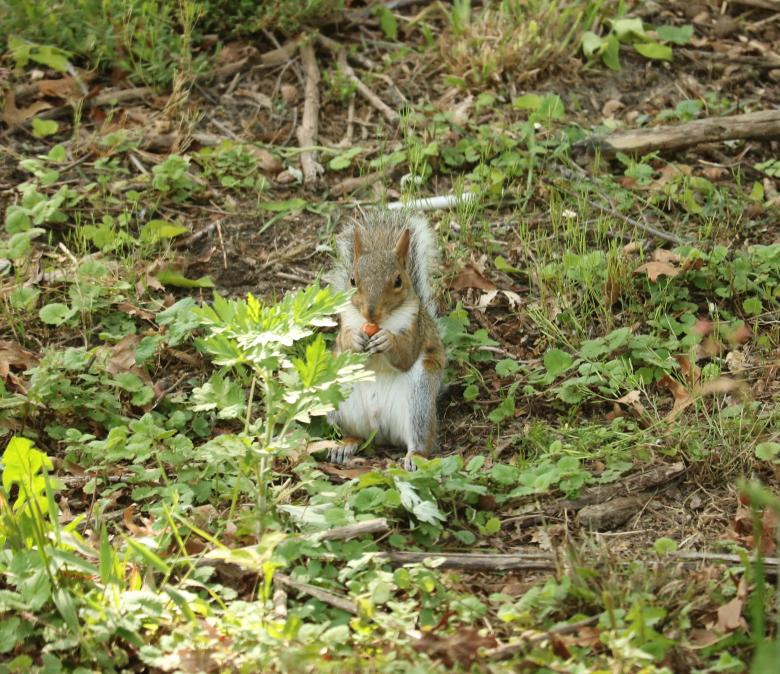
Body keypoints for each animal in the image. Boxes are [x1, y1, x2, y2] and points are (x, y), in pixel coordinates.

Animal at [326, 210, 445, 471]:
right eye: (352, 280)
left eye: (398, 281)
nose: (371, 313)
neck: (382, 322)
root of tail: (380, 430)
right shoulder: (345, 323)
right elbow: (344, 342)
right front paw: (357, 340)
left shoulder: (415, 328)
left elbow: (406, 354)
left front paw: (387, 341)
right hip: (336, 399)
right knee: (354, 434)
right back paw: (343, 445)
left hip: (419, 401)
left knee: (421, 440)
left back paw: (414, 457)